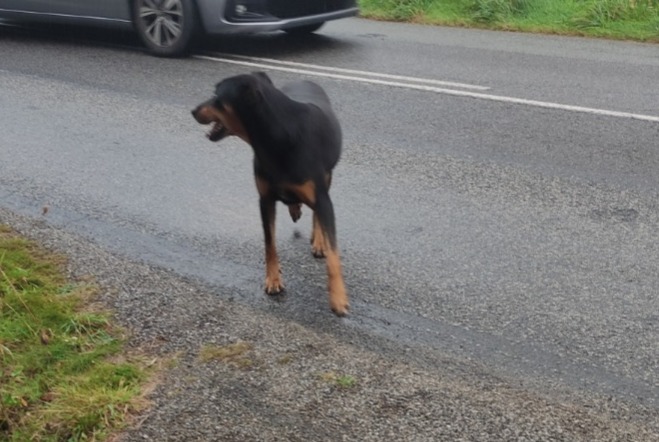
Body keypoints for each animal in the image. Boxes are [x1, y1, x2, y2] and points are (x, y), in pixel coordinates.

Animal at [193, 71, 350, 316]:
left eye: (217, 96)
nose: (193, 111)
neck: (277, 137)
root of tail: (304, 80)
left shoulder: (322, 197)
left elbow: (334, 255)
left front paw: (338, 298)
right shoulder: (265, 199)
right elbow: (269, 244)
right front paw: (273, 280)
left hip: (327, 177)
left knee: (318, 211)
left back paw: (318, 240)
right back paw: (295, 208)